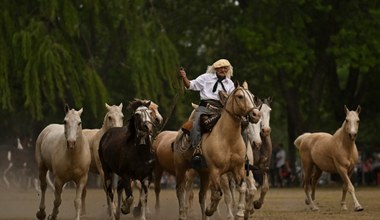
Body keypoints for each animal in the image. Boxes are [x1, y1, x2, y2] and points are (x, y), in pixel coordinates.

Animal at [174, 83, 260, 220]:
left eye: (252, 96)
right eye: (240, 96)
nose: (256, 114)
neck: (228, 140)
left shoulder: (240, 169)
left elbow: (244, 188)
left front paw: (241, 212)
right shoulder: (217, 172)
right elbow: (221, 194)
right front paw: (217, 212)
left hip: (203, 173)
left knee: (202, 195)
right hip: (182, 168)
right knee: (181, 189)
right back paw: (183, 213)